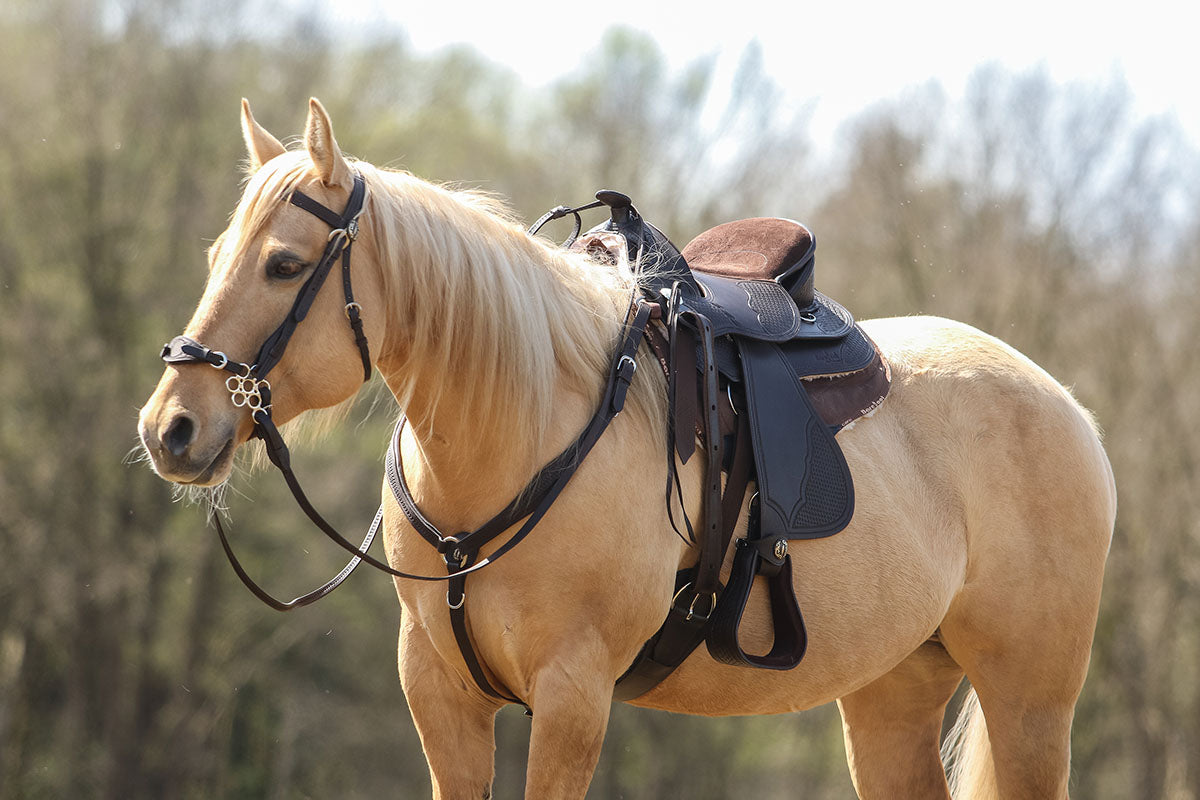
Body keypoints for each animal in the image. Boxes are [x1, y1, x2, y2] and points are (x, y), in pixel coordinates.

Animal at [138, 100, 1113, 800]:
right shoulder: (441, 695)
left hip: (1031, 702)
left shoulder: (572, 696)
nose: (170, 428)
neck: (519, 429)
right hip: (892, 693)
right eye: (219, 254)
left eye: (284, 265)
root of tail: (1068, 408)